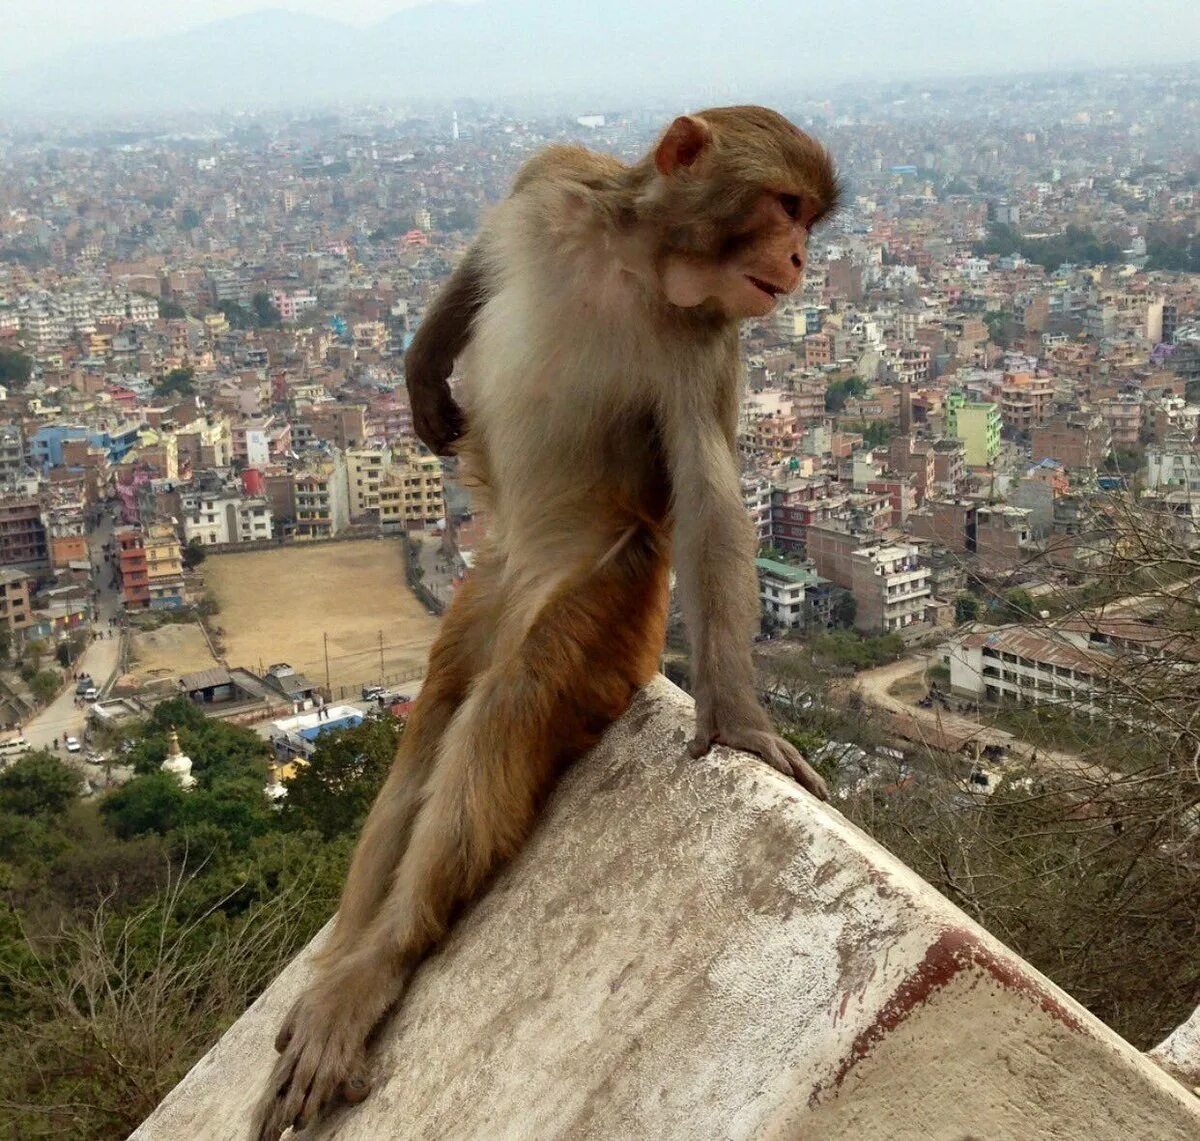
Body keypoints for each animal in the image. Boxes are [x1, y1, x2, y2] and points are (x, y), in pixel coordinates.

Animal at [253, 106, 835, 1141]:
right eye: (785, 205)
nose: (802, 255)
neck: (638, 261)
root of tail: (521, 573)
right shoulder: (554, 183)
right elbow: (484, 257)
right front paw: (421, 372)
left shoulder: (704, 346)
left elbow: (712, 502)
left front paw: (739, 721)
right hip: (483, 590)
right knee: (437, 716)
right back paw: (347, 963)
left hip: (610, 600)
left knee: (510, 698)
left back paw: (375, 965)